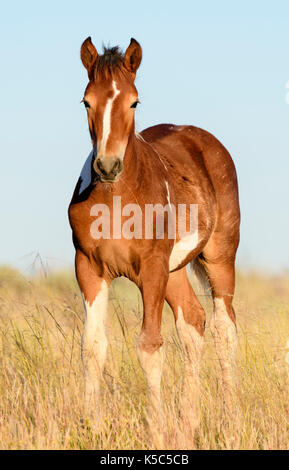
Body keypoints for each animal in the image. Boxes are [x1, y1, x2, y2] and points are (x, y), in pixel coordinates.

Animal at [68, 36, 240, 436]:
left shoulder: (151, 269)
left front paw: (157, 428)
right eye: (86, 101)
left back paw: (230, 421)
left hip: (217, 259)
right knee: (194, 324)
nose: (107, 166)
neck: (117, 200)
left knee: (224, 330)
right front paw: (91, 426)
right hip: (174, 272)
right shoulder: (89, 268)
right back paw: (189, 422)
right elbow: (92, 347)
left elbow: (150, 346)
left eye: (134, 101)